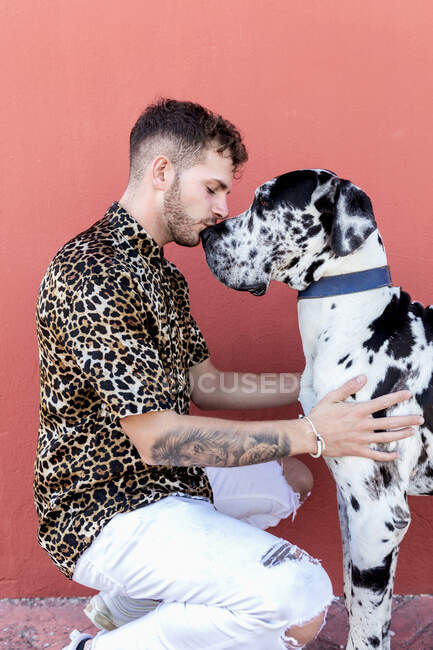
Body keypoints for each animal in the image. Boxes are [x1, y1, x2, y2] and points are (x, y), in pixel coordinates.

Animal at [200, 171, 432, 648]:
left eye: (265, 202)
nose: (204, 234)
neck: (361, 321)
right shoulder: (353, 507)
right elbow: (357, 599)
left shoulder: (379, 514)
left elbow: (366, 624)